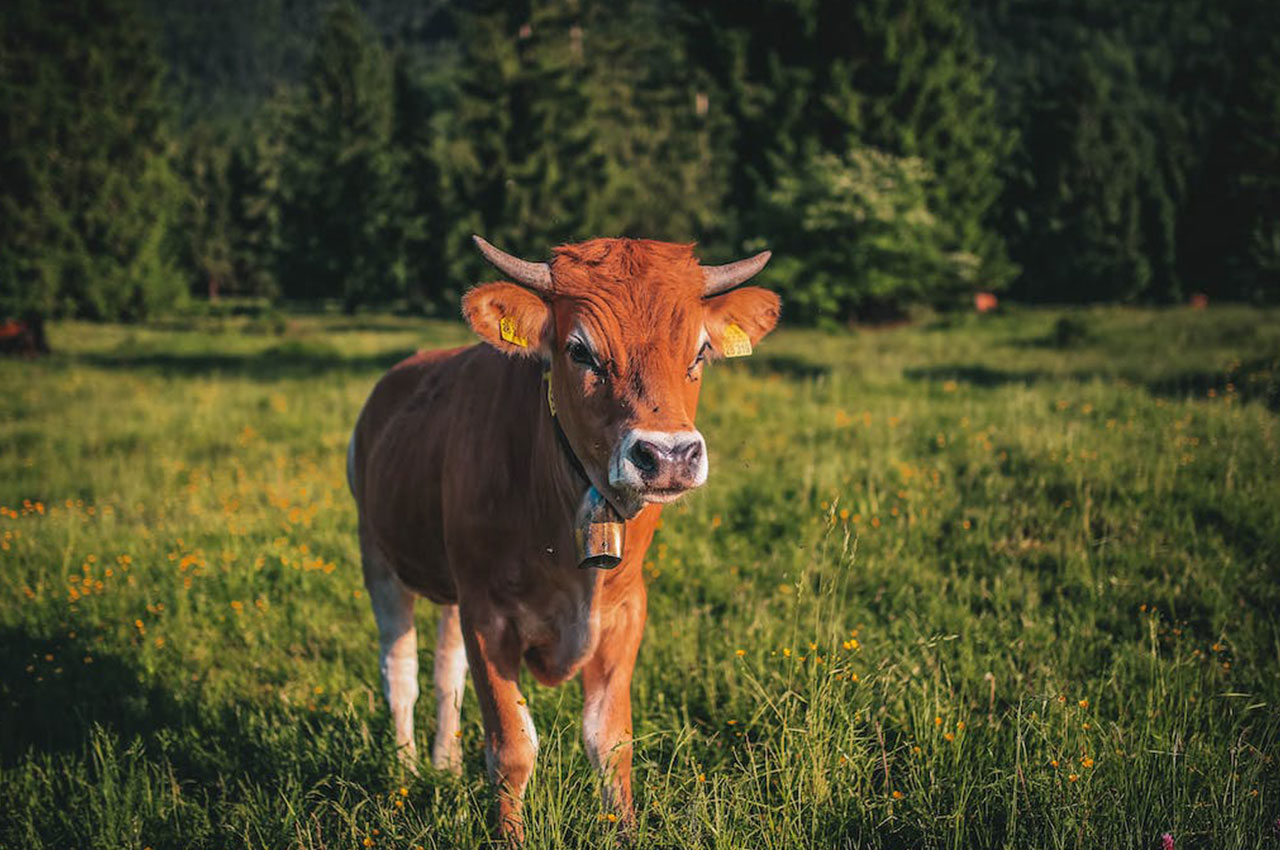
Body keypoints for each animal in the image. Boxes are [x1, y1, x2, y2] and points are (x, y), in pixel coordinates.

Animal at [343, 234, 778, 834]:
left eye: (699, 353)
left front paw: (626, 832)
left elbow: (610, 740)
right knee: (399, 669)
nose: (668, 456)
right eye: (581, 352)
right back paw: (407, 770)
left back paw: (444, 764)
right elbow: (512, 747)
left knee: (446, 670)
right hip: (377, 556)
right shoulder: (488, 615)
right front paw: (508, 837)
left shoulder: (624, 612)